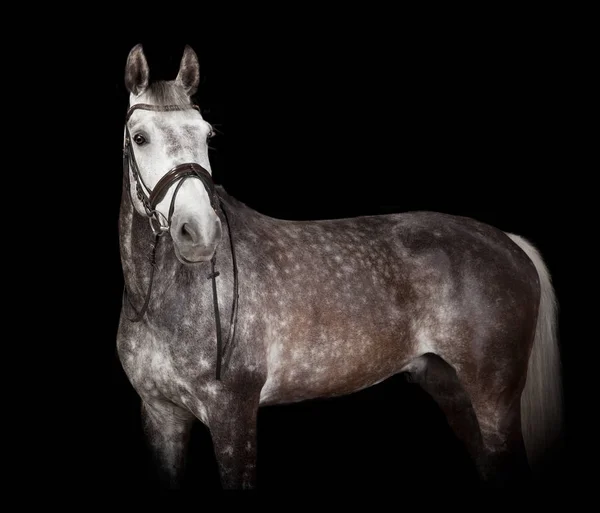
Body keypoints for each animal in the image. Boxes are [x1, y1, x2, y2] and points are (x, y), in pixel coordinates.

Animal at [117, 44, 568, 488]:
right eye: (140, 138)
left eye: (207, 134)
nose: (199, 230)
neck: (163, 299)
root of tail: (509, 241)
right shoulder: (161, 414)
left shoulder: (233, 413)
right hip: (453, 390)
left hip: (494, 399)